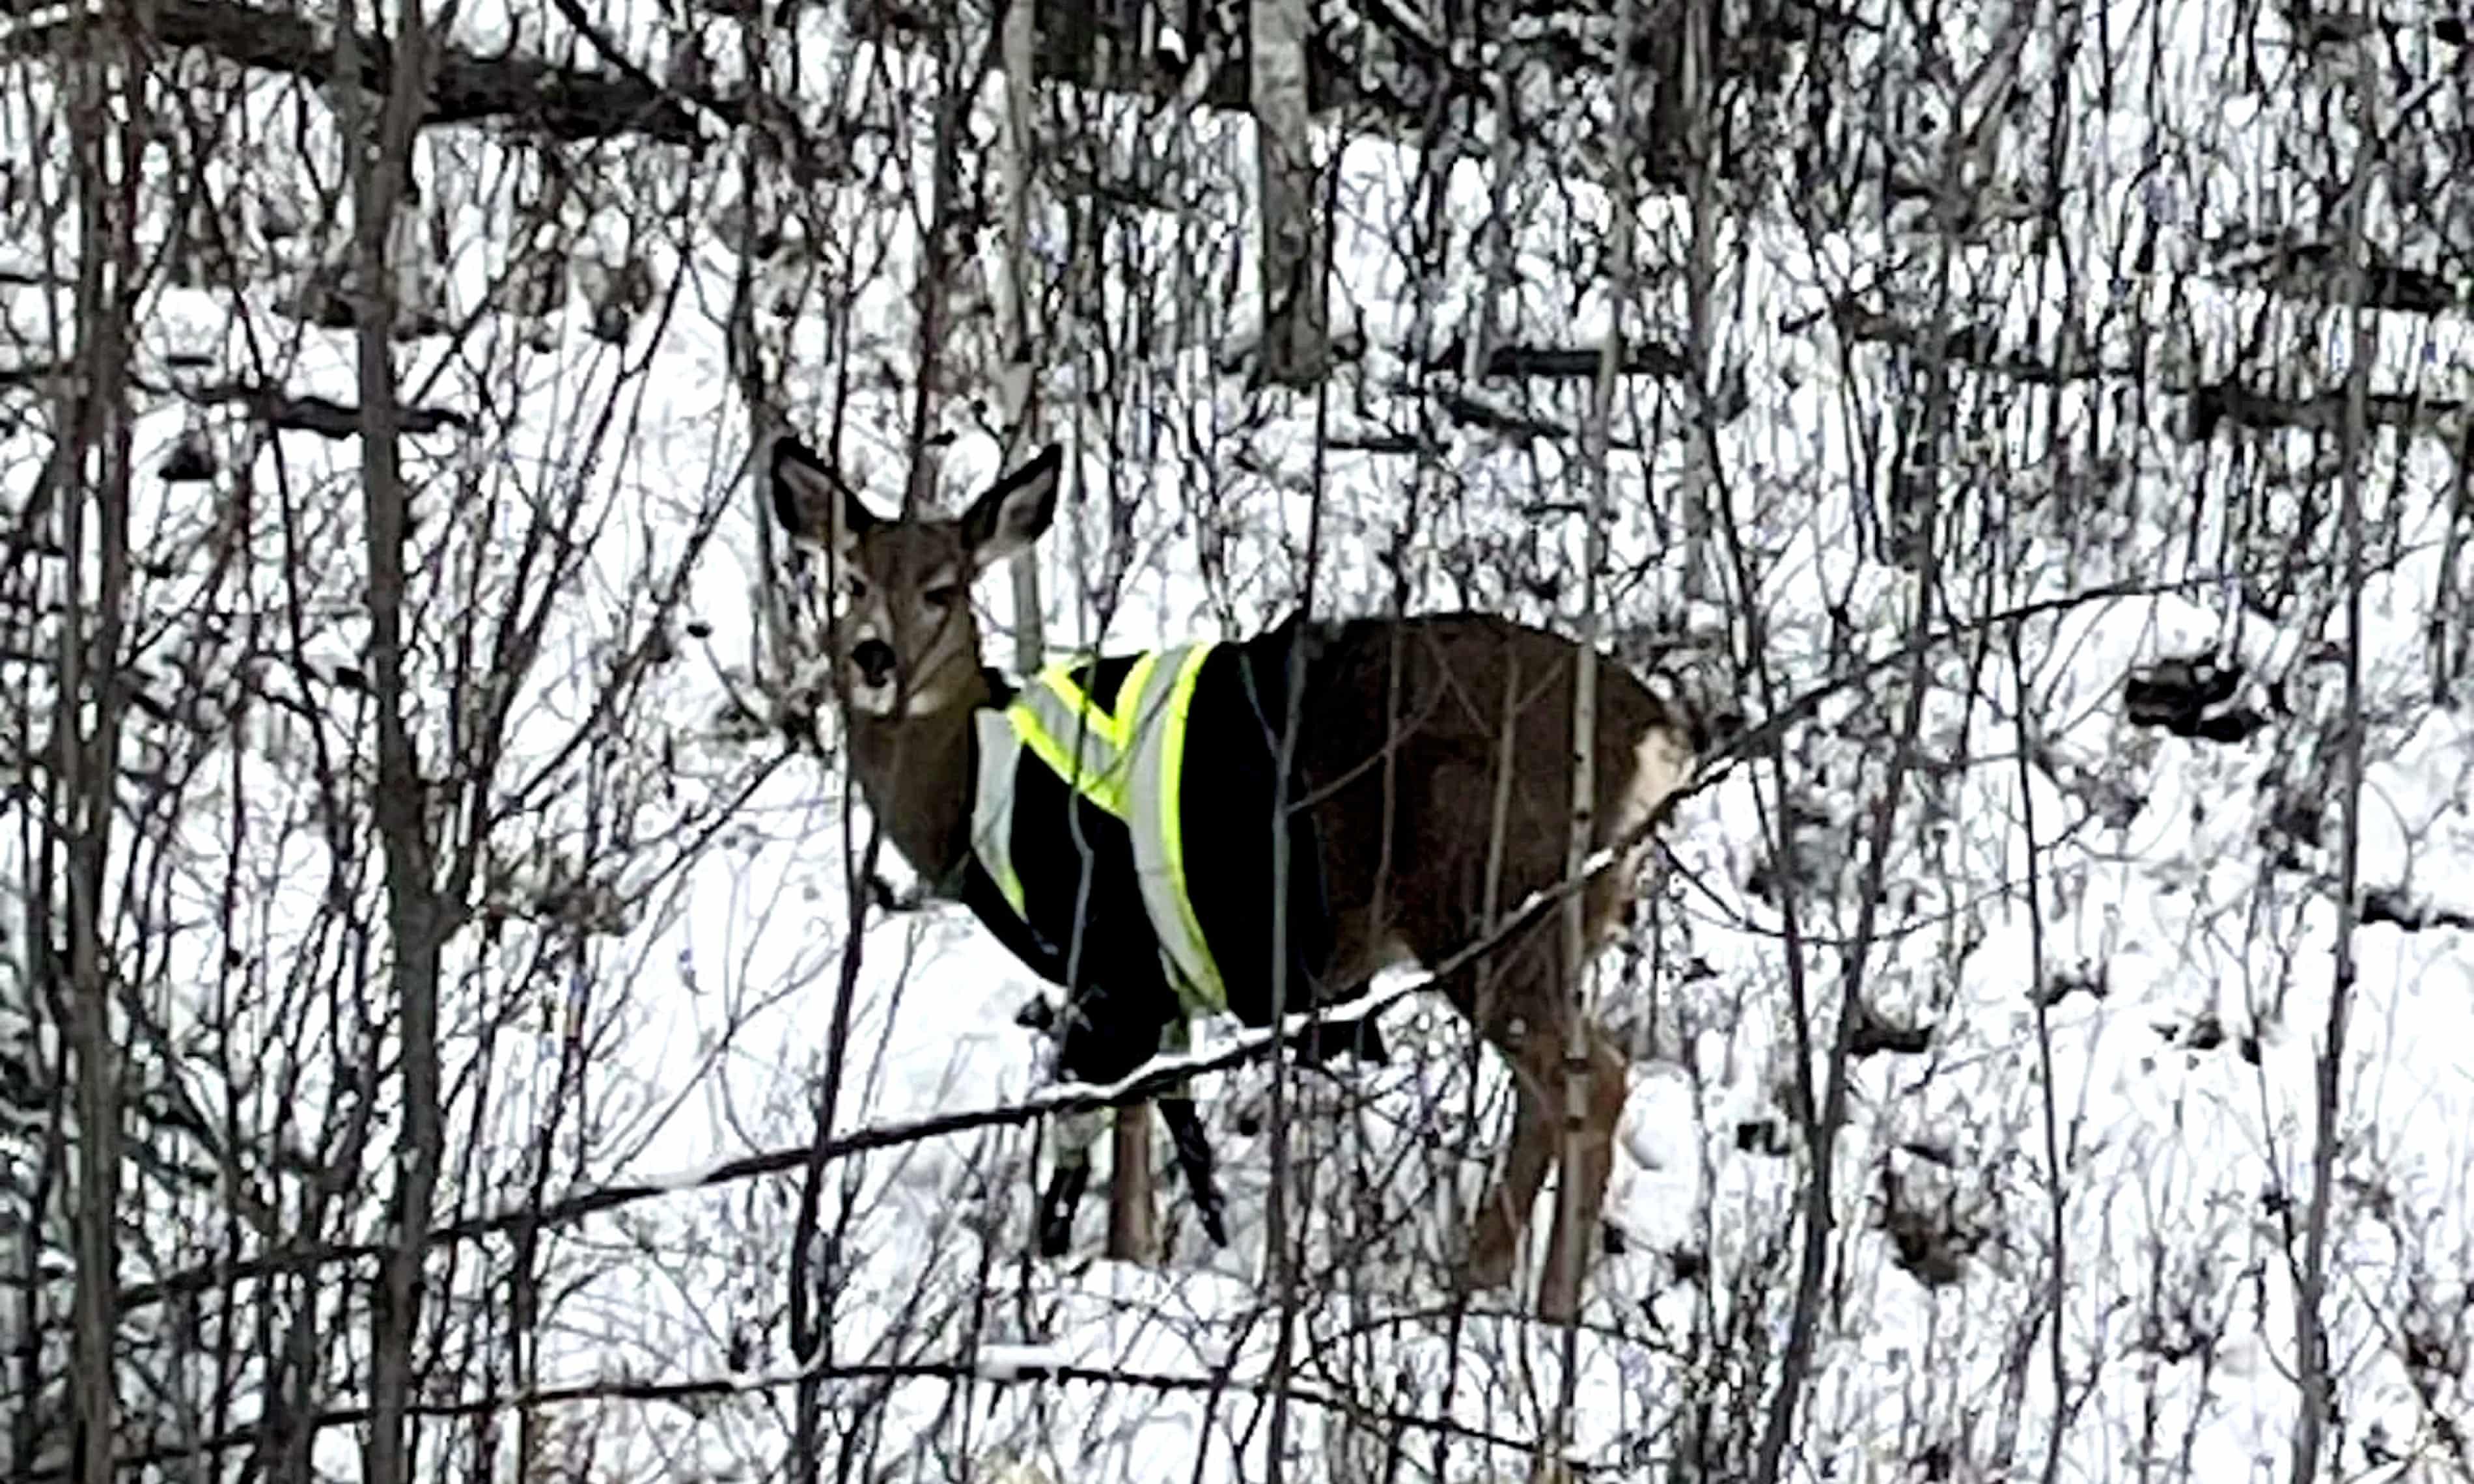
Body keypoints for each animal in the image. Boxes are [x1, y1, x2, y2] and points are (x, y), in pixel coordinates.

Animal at [765, 432, 1736, 1320]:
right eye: (850, 581)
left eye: (944, 590)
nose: (874, 658)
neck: (970, 788)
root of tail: (1657, 737)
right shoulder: (1152, 976)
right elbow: (1152, 1110)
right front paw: (1144, 1257)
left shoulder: (1106, 950)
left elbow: (1121, 1113)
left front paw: (1118, 1263)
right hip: (1548, 923)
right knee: (1555, 1090)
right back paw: (1480, 1281)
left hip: (1494, 905)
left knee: (1591, 1078)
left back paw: (1544, 1306)